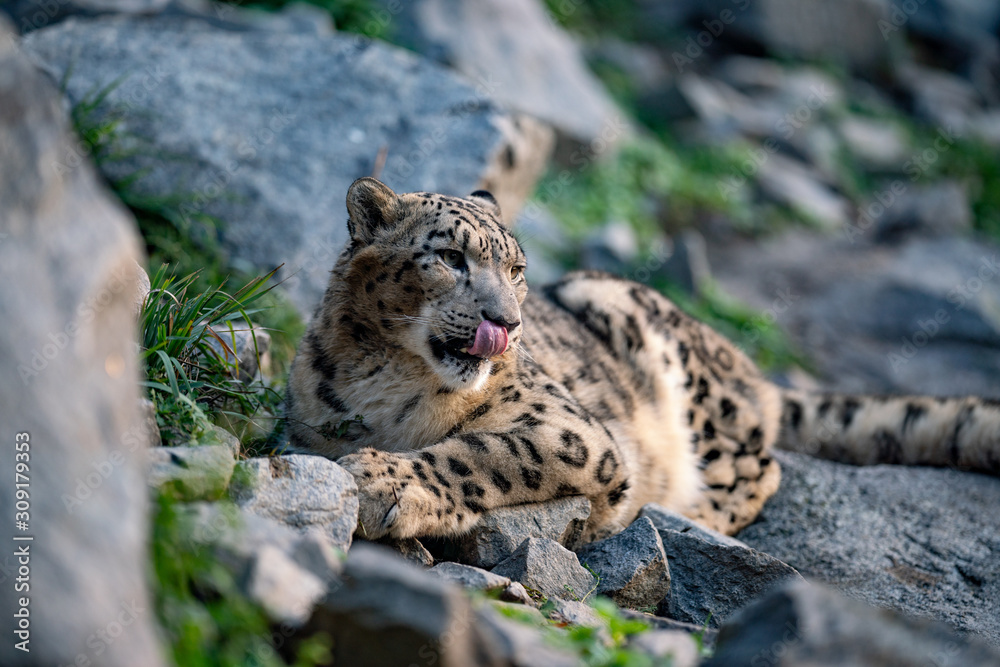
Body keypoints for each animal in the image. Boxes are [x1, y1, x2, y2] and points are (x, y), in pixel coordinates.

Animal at [285, 176, 1000, 542]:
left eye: (516, 270)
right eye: (450, 257)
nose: (506, 324)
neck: (387, 377)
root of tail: (751, 371)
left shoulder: (571, 430)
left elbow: (484, 452)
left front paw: (384, 480)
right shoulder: (310, 425)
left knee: (759, 465)